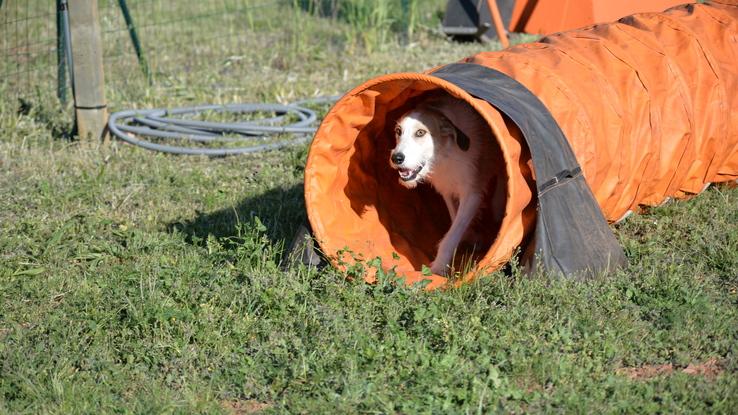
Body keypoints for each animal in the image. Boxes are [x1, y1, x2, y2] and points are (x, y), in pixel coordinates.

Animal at [386, 94, 494, 276]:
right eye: (398, 131)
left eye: (420, 132)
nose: (396, 158)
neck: (447, 152)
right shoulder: (447, 190)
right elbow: (454, 217)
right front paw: (469, 236)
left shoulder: (472, 194)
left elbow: (453, 233)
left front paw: (439, 267)